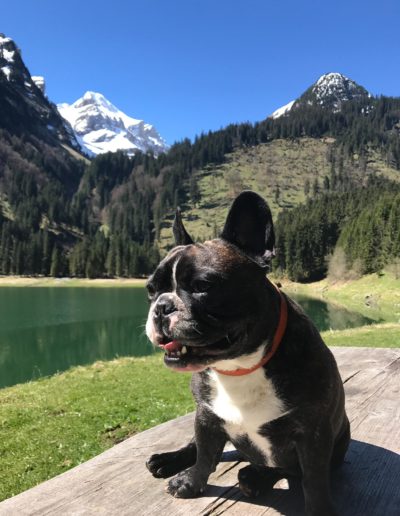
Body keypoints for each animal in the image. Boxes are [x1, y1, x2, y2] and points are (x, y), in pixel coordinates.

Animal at [145, 191, 348, 512]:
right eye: (150, 290)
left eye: (203, 286)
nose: (162, 306)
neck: (239, 367)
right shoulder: (206, 416)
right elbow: (204, 454)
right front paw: (191, 482)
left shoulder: (314, 434)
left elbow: (313, 482)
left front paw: (319, 510)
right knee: (196, 446)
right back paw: (168, 461)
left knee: (285, 469)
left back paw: (255, 477)